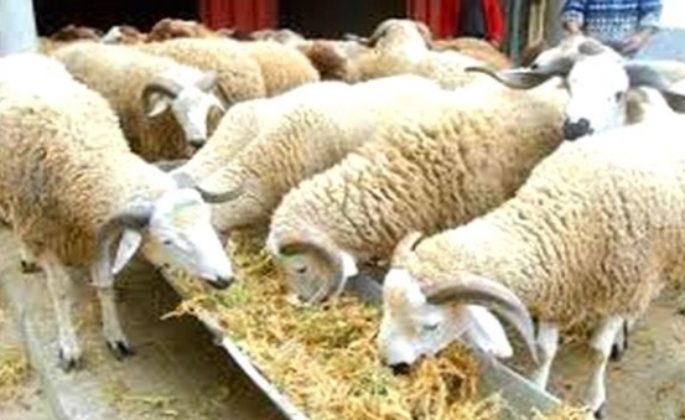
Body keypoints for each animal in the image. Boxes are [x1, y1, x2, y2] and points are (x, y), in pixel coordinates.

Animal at [376, 113, 685, 418]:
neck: (562, 216)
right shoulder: (558, 291)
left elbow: (598, 352)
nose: (392, 365)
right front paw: (537, 390)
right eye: (386, 308)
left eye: (431, 326)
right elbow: (545, 351)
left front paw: (594, 401)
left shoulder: (625, 290)